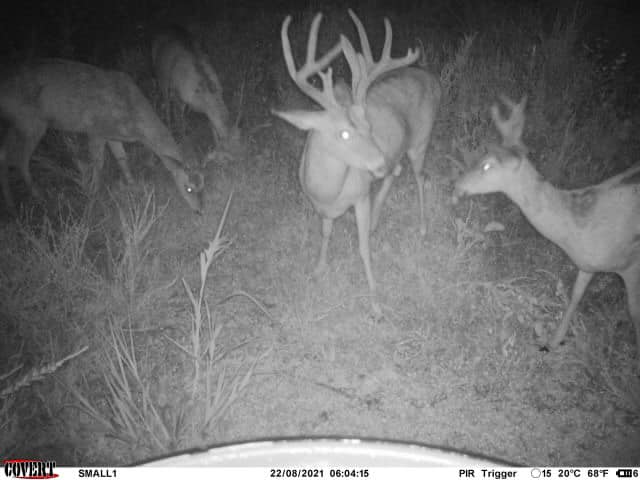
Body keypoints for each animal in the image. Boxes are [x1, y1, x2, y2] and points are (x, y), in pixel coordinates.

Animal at [0, 58, 205, 214]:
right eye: (188, 187)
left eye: (204, 183)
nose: (200, 210)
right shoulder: (95, 130)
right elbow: (98, 163)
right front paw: (92, 193)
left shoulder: (112, 135)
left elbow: (122, 158)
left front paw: (132, 185)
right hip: (31, 122)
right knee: (20, 159)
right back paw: (37, 196)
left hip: (17, 124)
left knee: (5, 154)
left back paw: (11, 204)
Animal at [272, 10, 441, 318]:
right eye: (344, 133)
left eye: (368, 125)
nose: (378, 160)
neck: (327, 191)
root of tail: (433, 78)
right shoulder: (323, 208)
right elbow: (326, 233)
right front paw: (318, 270)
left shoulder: (361, 196)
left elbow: (363, 248)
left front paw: (375, 304)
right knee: (396, 172)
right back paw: (377, 218)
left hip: (421, 140)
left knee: (420, 177)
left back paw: (422, 227)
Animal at [453, 95, 640, 366]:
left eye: (487, 165)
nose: (457, 184)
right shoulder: (587, 263)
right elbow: (575, 295)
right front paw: (552, 342)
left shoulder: (632, 265)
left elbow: (634, 311)